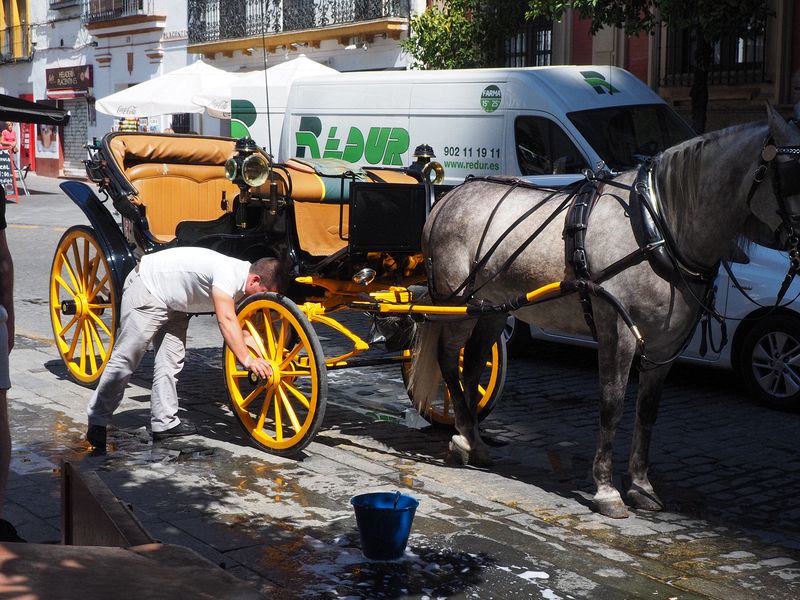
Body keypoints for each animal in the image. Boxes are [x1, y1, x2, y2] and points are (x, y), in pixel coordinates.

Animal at [412, 102, 800, 516]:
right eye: (793, 175)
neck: (656, 228)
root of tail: (449, 198)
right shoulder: (618, 332)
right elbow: (612, 406)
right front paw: (606, 489)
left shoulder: (664, 348)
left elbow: (648, 412)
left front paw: (642, 486)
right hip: (457, 303)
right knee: (449, 360)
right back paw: (463, 436)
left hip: (491, 308)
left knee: (473, 363)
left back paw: (471, 438)